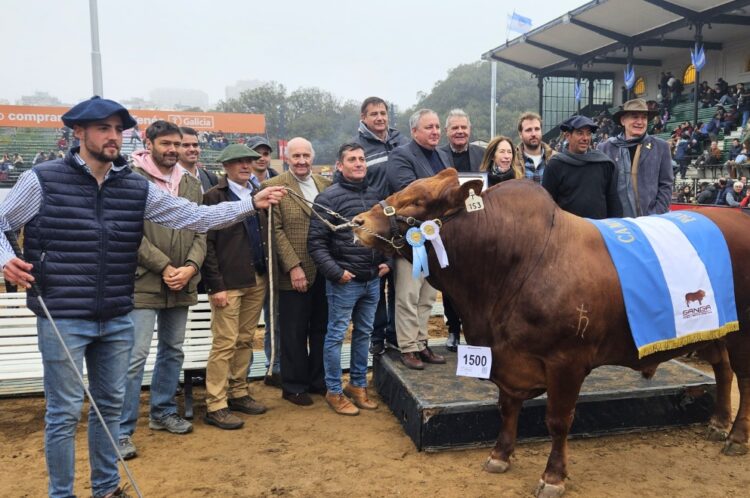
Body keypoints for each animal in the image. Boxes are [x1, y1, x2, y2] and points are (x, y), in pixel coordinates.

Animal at [354, 169, 750, 496]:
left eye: (418, 200)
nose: (358, 221)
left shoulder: (567, 362)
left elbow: (558, 421)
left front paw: (553, 476)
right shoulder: (506, 357)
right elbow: (507, 406)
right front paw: (500, 455)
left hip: (742, 332)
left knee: (742, 378)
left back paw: (736, 436)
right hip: (713, 330)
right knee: (722, 369)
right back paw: (717, 422)